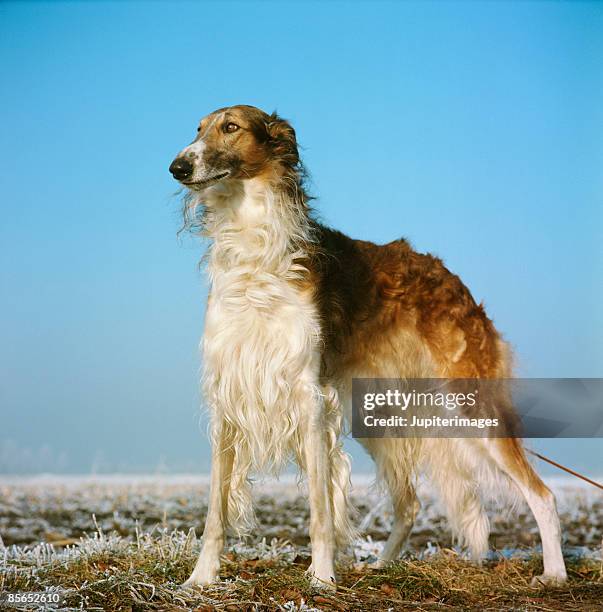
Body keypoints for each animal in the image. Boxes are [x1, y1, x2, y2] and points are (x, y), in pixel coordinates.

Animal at [169, 104, 568, 588]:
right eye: (198, 129)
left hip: (473, 406)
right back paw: (380, 565)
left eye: (231, 127)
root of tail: (455, 281)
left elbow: (321, 508)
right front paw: (200, 578)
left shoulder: (308, 393)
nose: (176, 167)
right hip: (378, 413)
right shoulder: (229, 387)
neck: (255, 256)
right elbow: (216, 508)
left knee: (543, 494)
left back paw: (555, 574)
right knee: (410, 503)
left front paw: (322, 577)